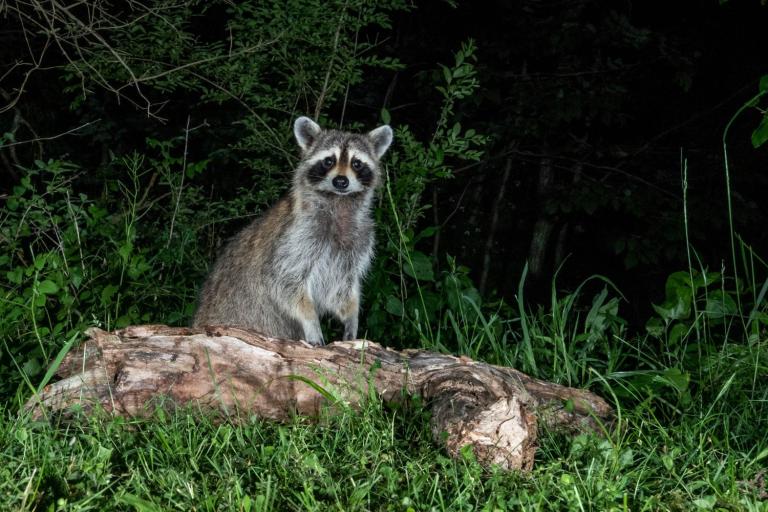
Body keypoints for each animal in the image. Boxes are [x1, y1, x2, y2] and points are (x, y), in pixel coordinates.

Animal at [191, 118, 392, 346]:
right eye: (328, 161)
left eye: (356, 163)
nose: (341, 181)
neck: (339, 202)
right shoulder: (297, 236)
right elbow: (284, 281)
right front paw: (311, 320)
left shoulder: (359, 239)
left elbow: (342, 288)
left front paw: (351, 315)